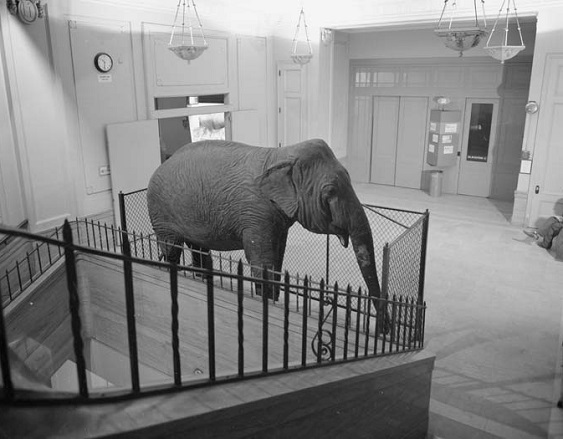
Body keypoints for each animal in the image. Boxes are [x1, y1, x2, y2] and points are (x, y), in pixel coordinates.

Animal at [147, 140, 388, 326]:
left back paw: (202, 278)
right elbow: (262, 259)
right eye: (330, 192)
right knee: (171, 249)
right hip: (161, 214)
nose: (385, 330)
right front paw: (266, 301)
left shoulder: (276, 218)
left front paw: (273, 300)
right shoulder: (255, 214)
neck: (279, 154)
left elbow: (277, 254)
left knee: (198, 247)